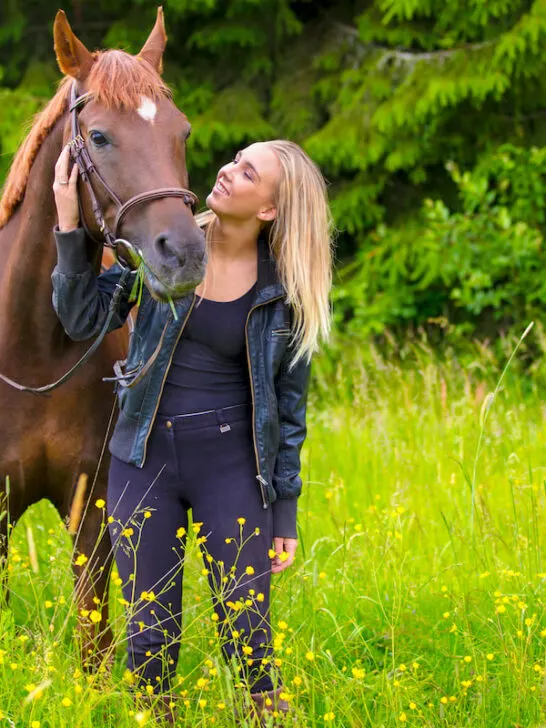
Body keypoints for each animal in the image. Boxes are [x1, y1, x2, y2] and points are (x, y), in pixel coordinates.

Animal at [0, 8, 206, 666]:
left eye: (181, 132)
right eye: (98, 137)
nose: (184, 254)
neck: (34, 352)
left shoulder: (90, 512)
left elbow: (95, 648)